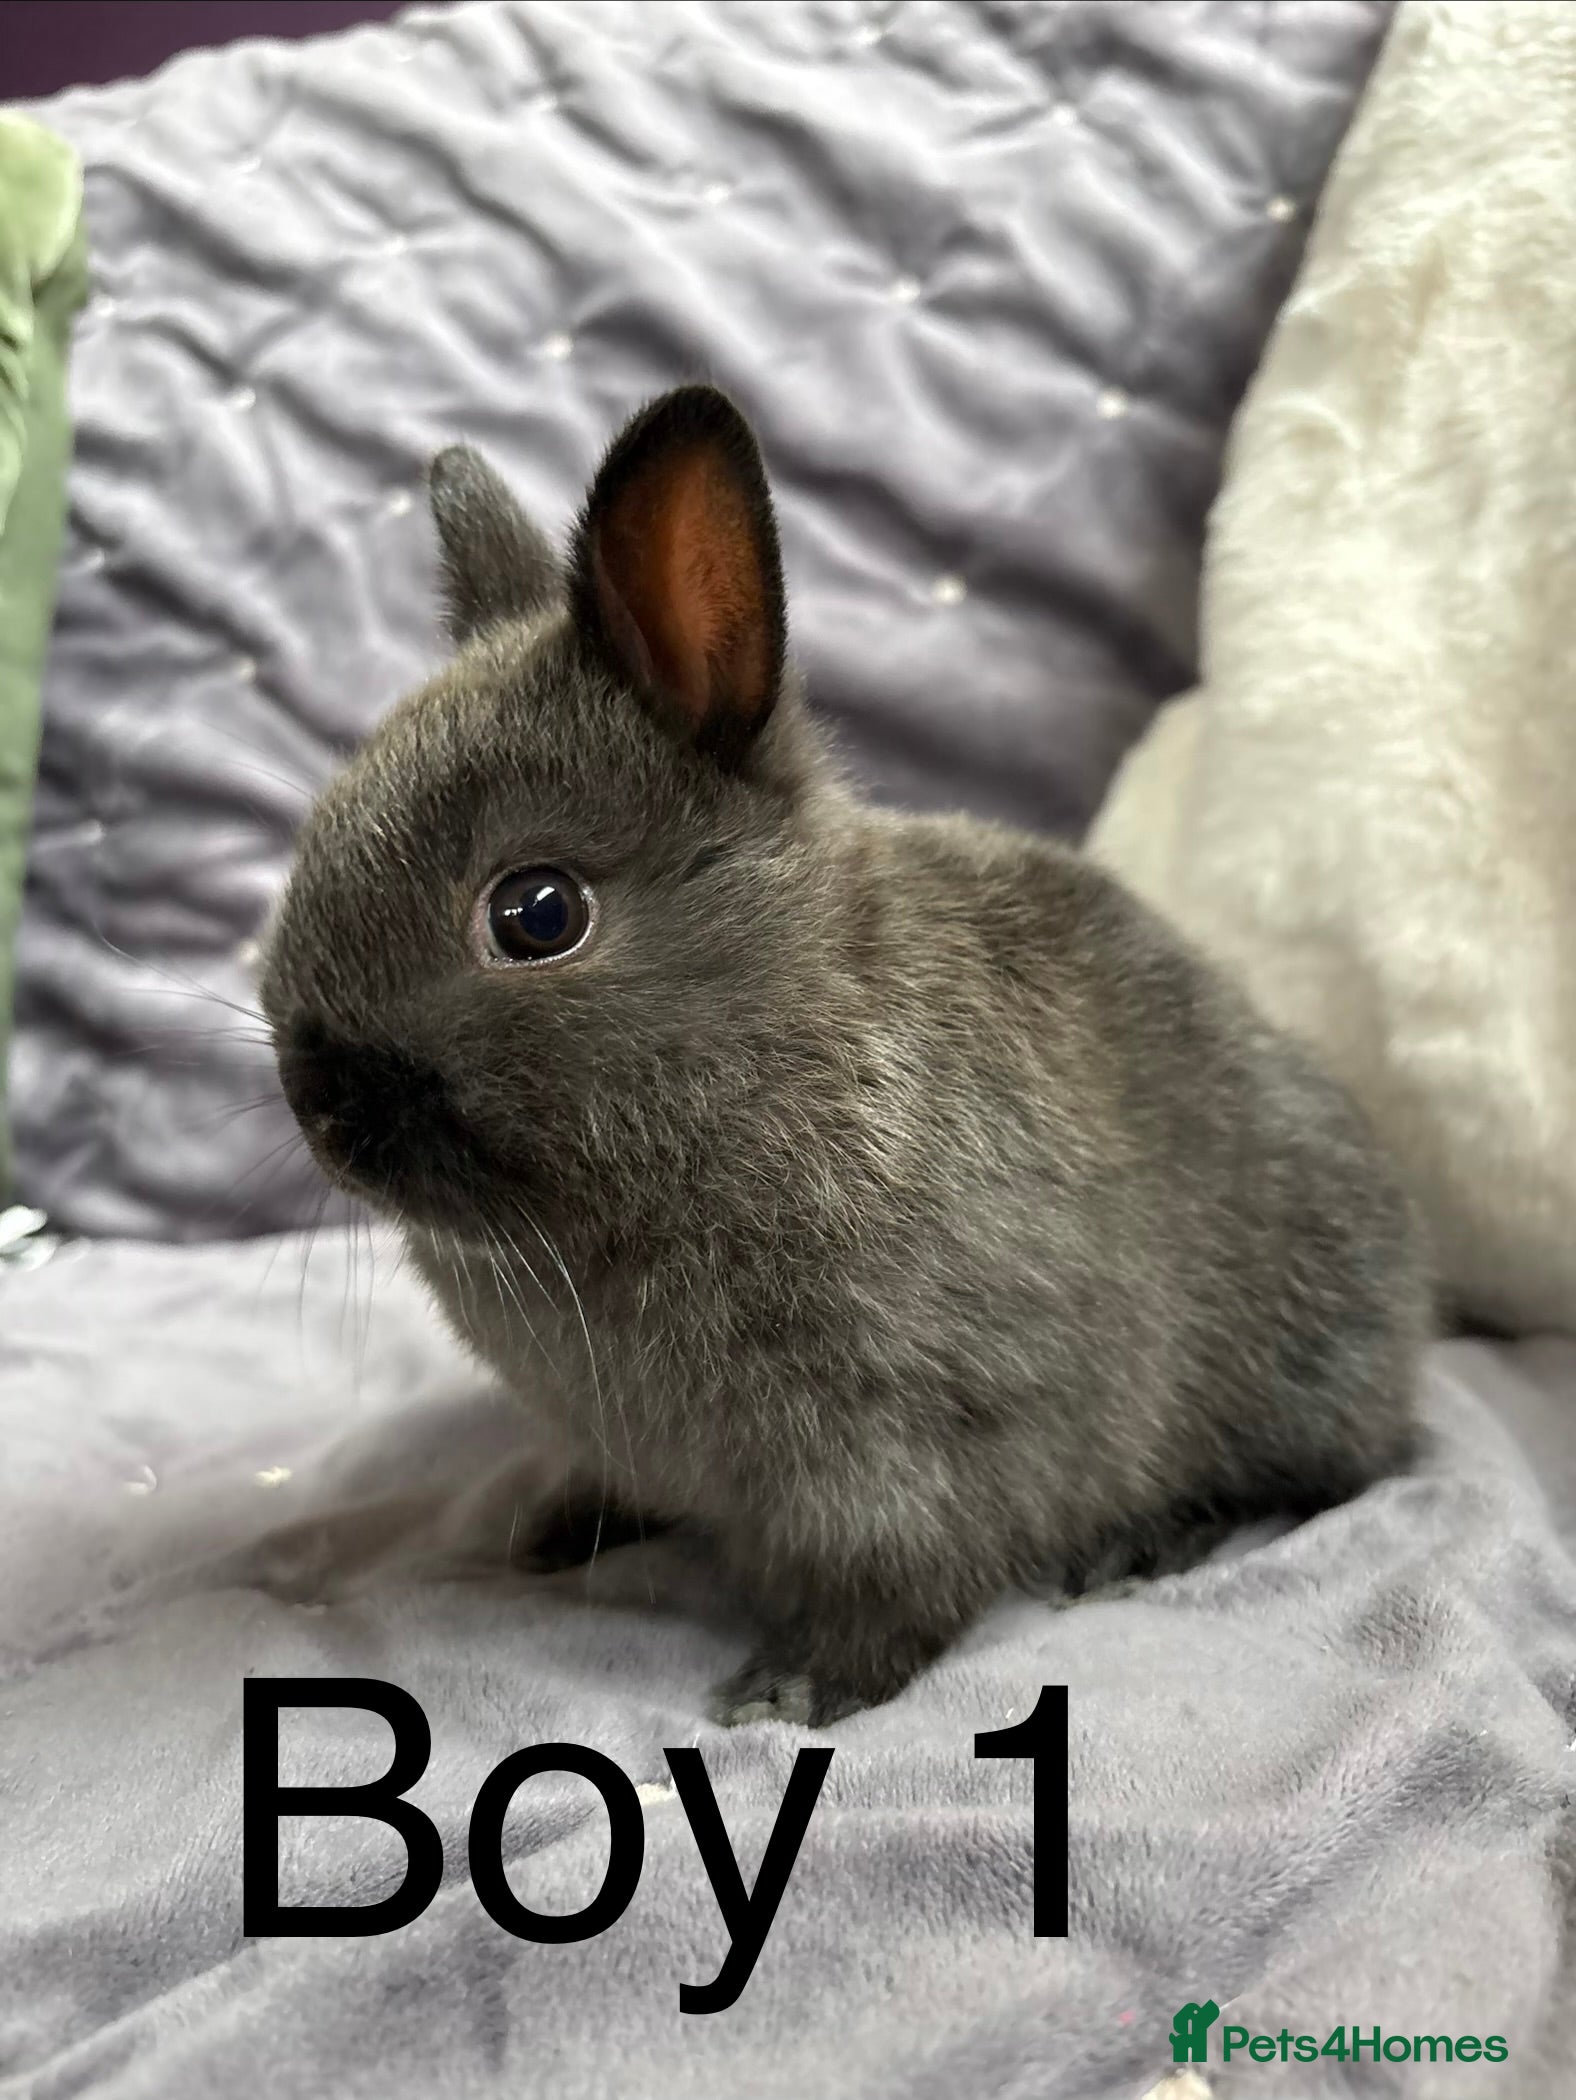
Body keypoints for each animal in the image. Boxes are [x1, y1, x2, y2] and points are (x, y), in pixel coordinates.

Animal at [260, 384, 1426, 1728]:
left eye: (537, 914)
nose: (319, 1108)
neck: (774, 1061)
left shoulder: (910, 1438)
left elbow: (903, 1579)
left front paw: (791, 1694)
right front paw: (556, 1524)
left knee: (1326, 1476)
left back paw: (1150, 1541)